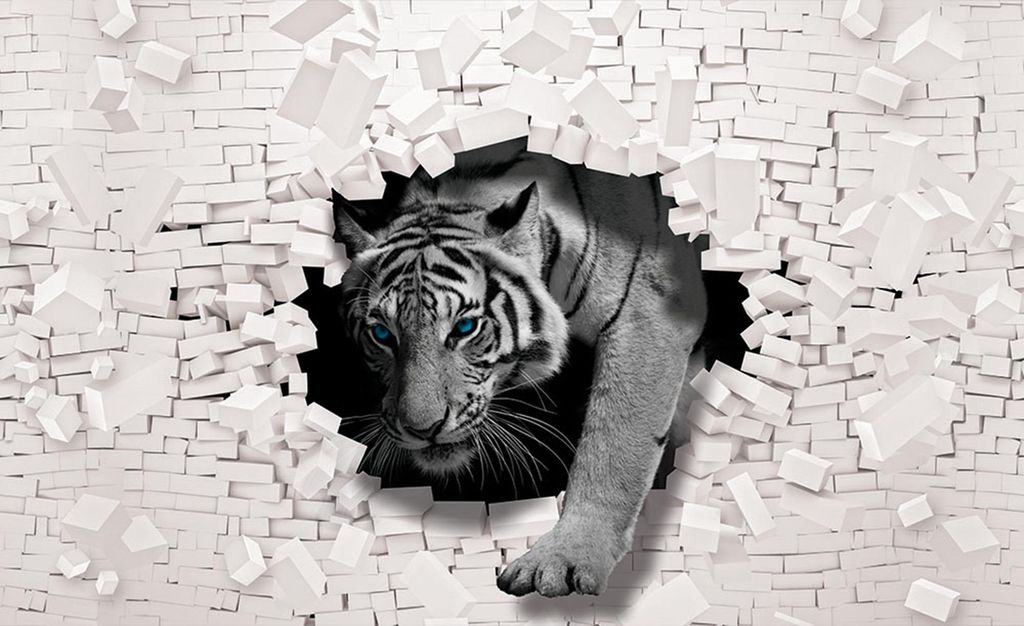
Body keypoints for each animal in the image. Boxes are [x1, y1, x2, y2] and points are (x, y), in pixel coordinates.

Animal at [332, 137, 707, 597]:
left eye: (465, 327)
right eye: (382, 334)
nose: (422, 429)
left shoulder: (650, 314)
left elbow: (613, 448)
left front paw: (565, 558)